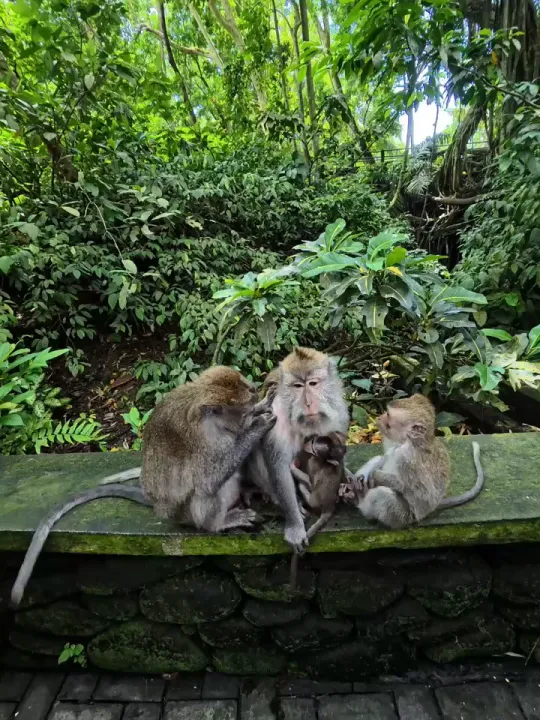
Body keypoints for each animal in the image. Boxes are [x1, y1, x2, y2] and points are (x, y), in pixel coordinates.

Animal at [11, 366, 276, 608]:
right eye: (242, 409)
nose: (254, 398)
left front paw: (264, 405)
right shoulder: (207, 439)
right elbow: (207, 480)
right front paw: (258, 424)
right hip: (187, 515)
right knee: (207, 488)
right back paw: (218, 523)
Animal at [245, 347, 349, 554]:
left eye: (313, 383)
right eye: (298, 386)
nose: (308, 403)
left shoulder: (337, 410)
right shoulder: (276, 416)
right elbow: (279, 466)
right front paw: (295, 526)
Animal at [349, 394, 484, 529]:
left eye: (387, 414)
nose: (379, 418)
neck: (407, 441)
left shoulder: (407, 459)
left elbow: (421, 493)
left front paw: (375, 476)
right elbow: (384, 457)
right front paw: (366, 475)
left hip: (404, 516)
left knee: (383, 495)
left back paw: (359, 501)